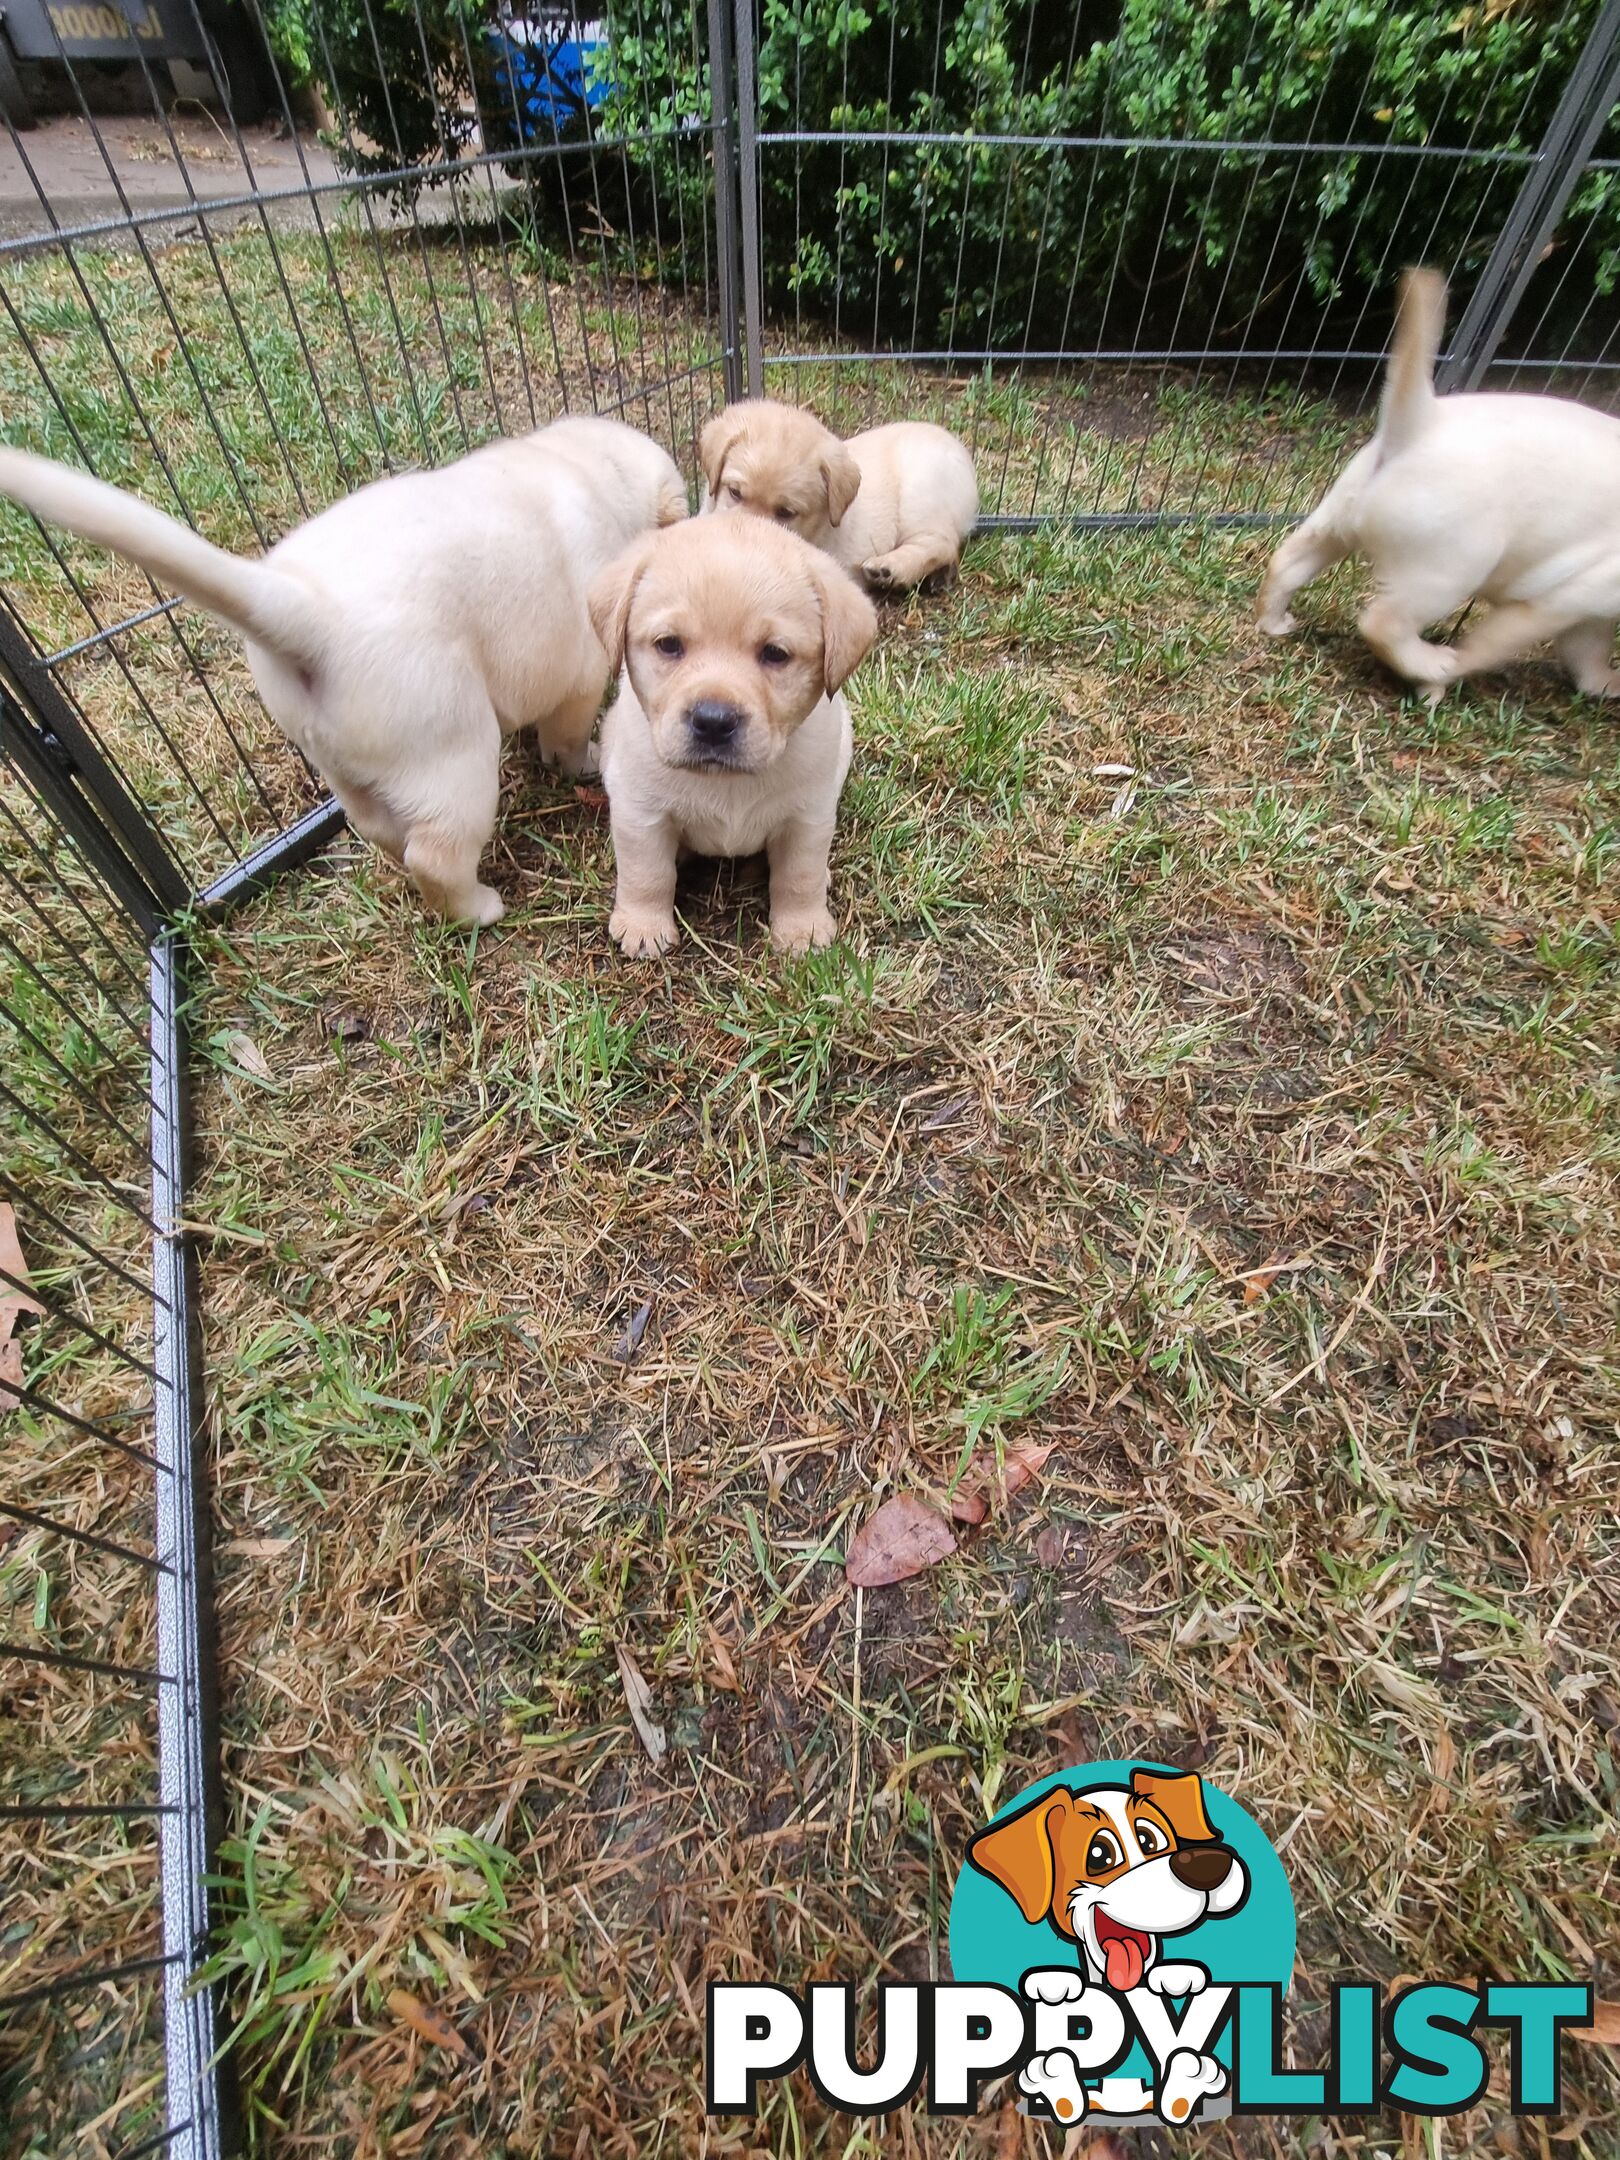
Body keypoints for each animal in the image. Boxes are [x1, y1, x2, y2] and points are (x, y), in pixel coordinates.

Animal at [0, 416, 691, 924]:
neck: (588, 467)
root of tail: (305, 609)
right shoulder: (578, 672)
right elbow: (566, 732)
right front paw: (576, 761)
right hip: (453, 752)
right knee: (435, 853)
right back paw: (477, 910)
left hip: (342, 760)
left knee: (378, 827)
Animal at [591, 514, 881, 954]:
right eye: (668, 645)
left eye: (775, 653)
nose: (713, 721)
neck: (726, 781)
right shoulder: (640, 811)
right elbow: (647, 873)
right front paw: (643, 926)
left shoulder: (808, 817)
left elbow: (799, 877)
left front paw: (803, 930)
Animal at [699, 395, 976, 591]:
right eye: (734, 492)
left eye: (786, 512)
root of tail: (961, 452)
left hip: (920, 495)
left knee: (942, 543)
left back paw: (889, 569)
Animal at [1261, 265, 1620, 695]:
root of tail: (1423, 423)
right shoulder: (1558, 600)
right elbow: (1488, 645)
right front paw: (1451, 671)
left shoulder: (1589, 613)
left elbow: (1589, 653)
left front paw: (1606, 683)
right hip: (1448, 569)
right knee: (1384, 623)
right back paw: (1429, 665)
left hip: (1338, 521)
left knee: (1287, 563)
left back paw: (1274, 622)